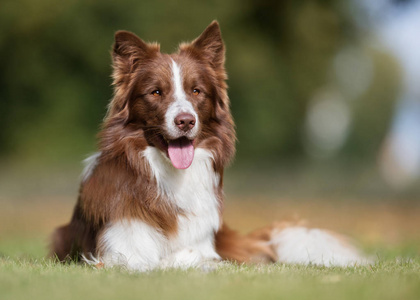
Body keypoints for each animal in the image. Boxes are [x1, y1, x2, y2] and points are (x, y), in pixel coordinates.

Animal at [51, 20, 368, 270]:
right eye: (156, 92)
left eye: (196, 91)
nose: (185, 121)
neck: (171, 174)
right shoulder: (119, 250)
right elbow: (150, 260)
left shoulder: (202, 242)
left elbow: (193, 255)